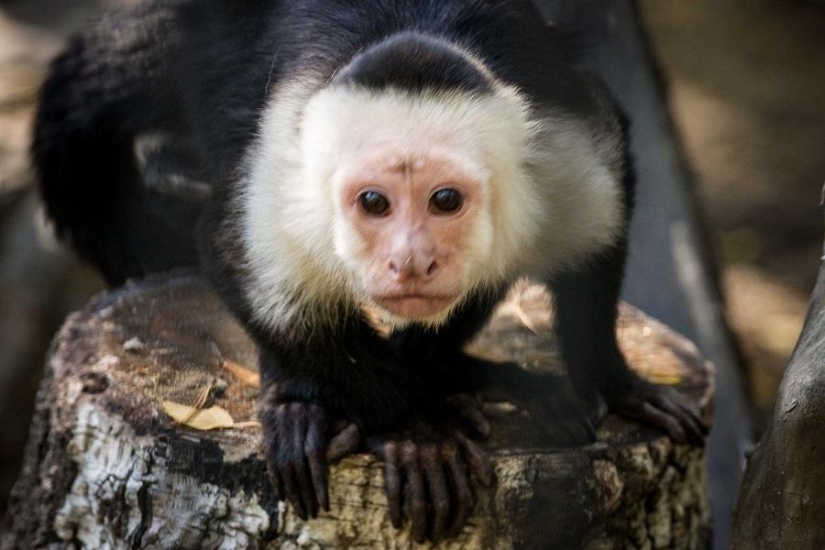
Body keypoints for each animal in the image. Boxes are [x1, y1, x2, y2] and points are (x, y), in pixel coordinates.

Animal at [33, 0, 707, 542]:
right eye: (375, 202)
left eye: (445, 200)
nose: (411, 260)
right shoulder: (281, 175)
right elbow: (236, 260)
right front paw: (411, 429)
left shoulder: (559, 148)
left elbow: (600, 223)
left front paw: (612, 378)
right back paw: (299, 400)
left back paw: (445, 367)